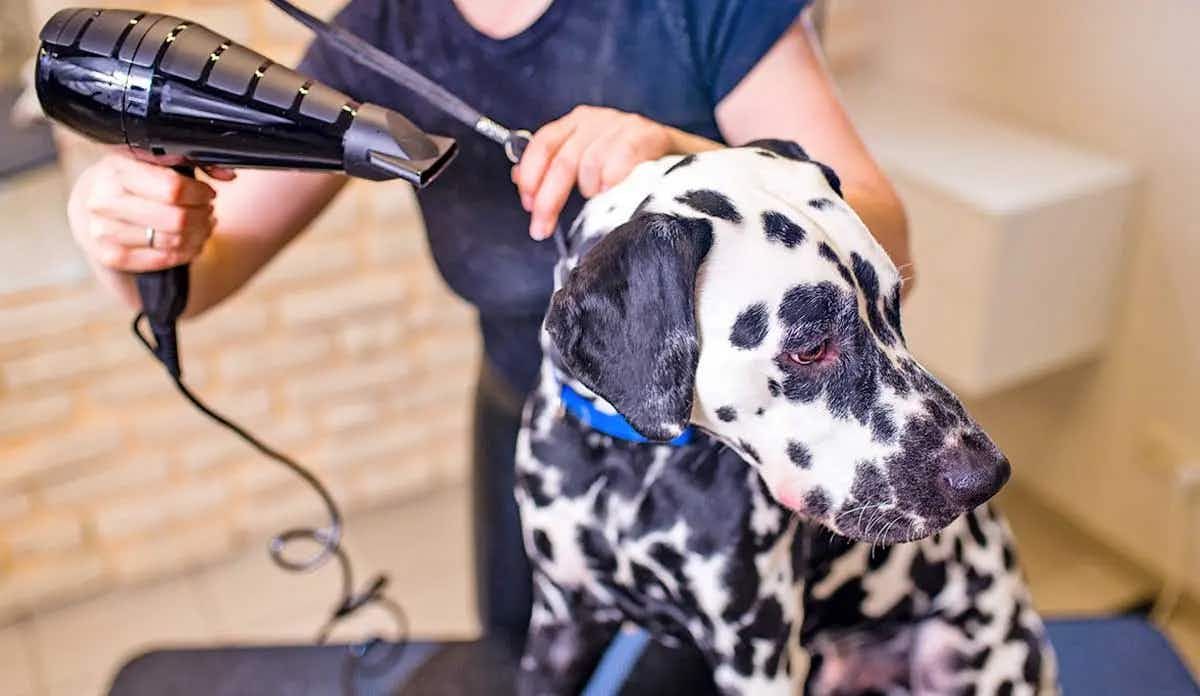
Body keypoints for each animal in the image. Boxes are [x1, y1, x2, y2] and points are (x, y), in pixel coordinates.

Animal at [511, 142, 1056, 696]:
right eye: (811, 347)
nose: (987, 475)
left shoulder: (758, 660)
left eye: (894, 305)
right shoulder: (560, 627)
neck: (631, 466)